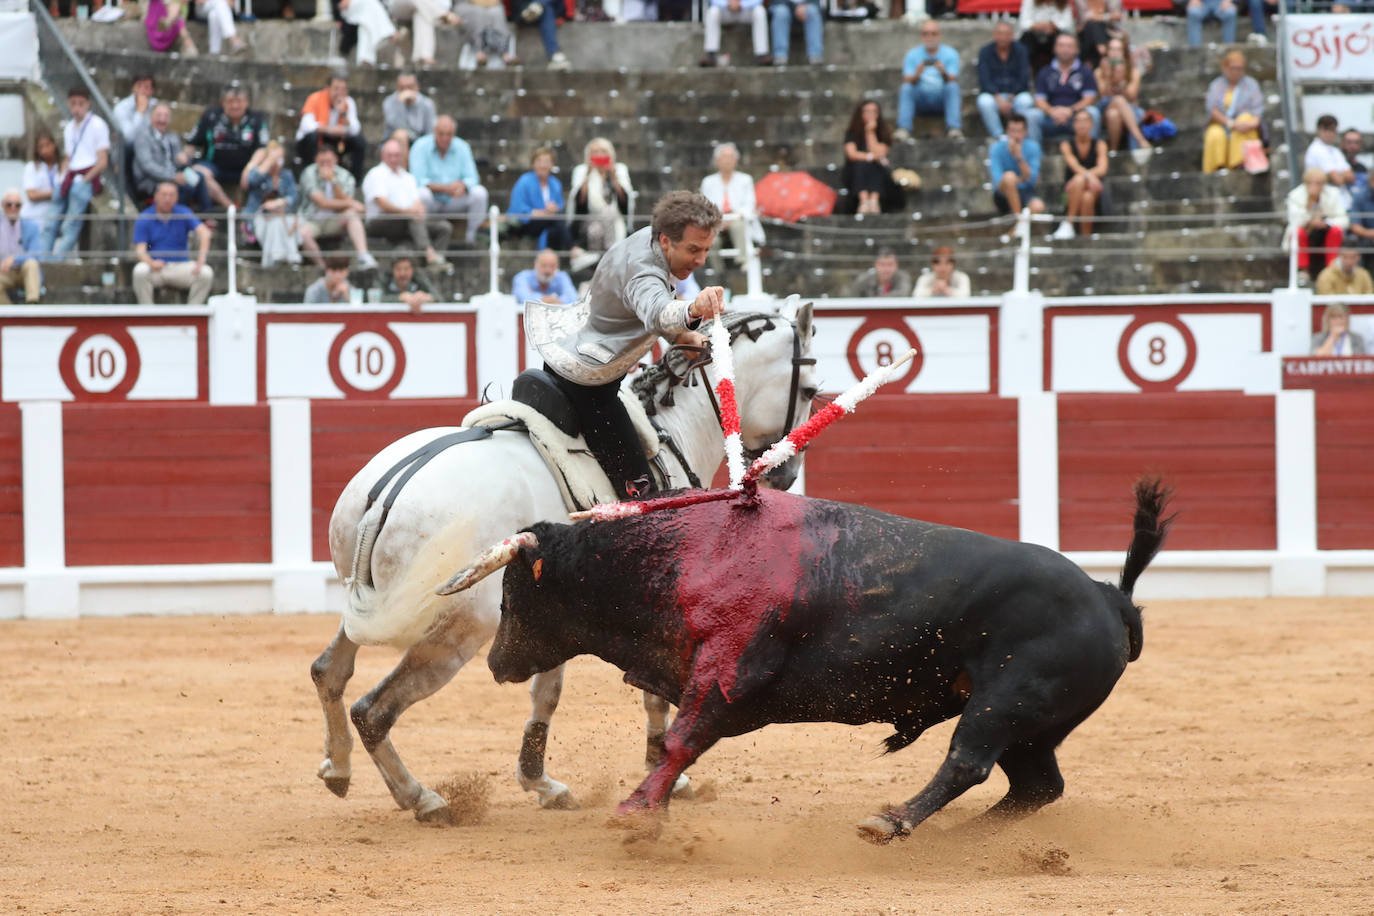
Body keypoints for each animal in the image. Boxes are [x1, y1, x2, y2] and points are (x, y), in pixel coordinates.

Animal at [311, 306, 813, 823]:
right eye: (811, 390)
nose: (786, 474)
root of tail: (386, 497)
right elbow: (643, 690)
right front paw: (665, 773)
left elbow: (547, 690)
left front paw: (540, 781)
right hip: (458, 632)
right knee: (374, 711)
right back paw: (423, 799)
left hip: (372, 604)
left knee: (329, 671)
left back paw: (338, 768)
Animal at [483, 483, 1170, 840]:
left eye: (513, 592)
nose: (494, 664)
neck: (680, 553)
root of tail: (1109, 597)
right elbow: (679, 744)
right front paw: (652, 809)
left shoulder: (727, 671)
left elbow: (681, 740)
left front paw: (635, 812)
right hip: (1033, 727)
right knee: (1036, 787)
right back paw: (958, 836)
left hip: (1006, 703)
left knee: (968, 762)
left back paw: (892, 823)